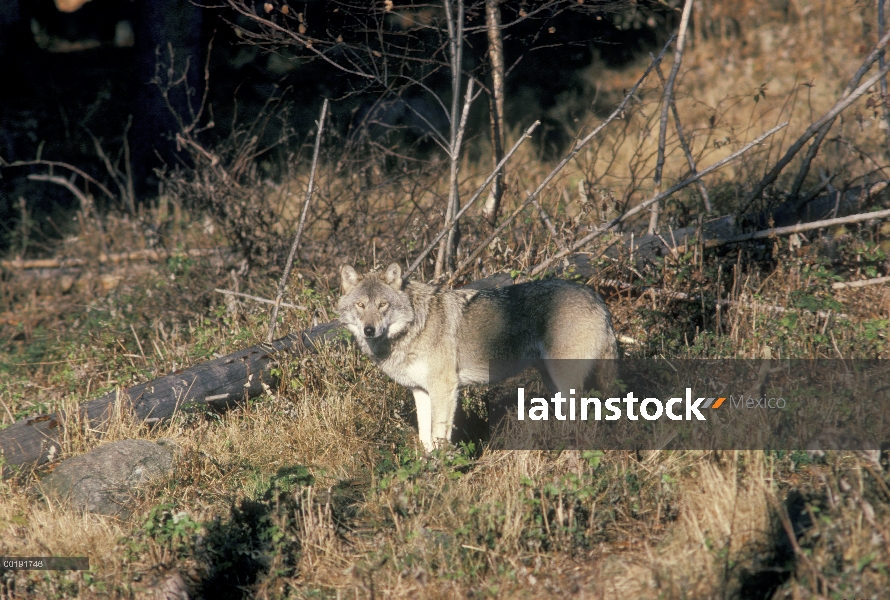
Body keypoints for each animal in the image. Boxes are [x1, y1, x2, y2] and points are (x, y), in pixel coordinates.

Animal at [336, 262, 612, 450]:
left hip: (565, 381)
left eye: (383, 305)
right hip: (553, 381)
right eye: (361, 305)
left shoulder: (445, 388)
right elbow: (425, 437)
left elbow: (439, 435)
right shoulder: (421, 391)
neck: (414, 327)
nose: (369, 330)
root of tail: (596, 297)